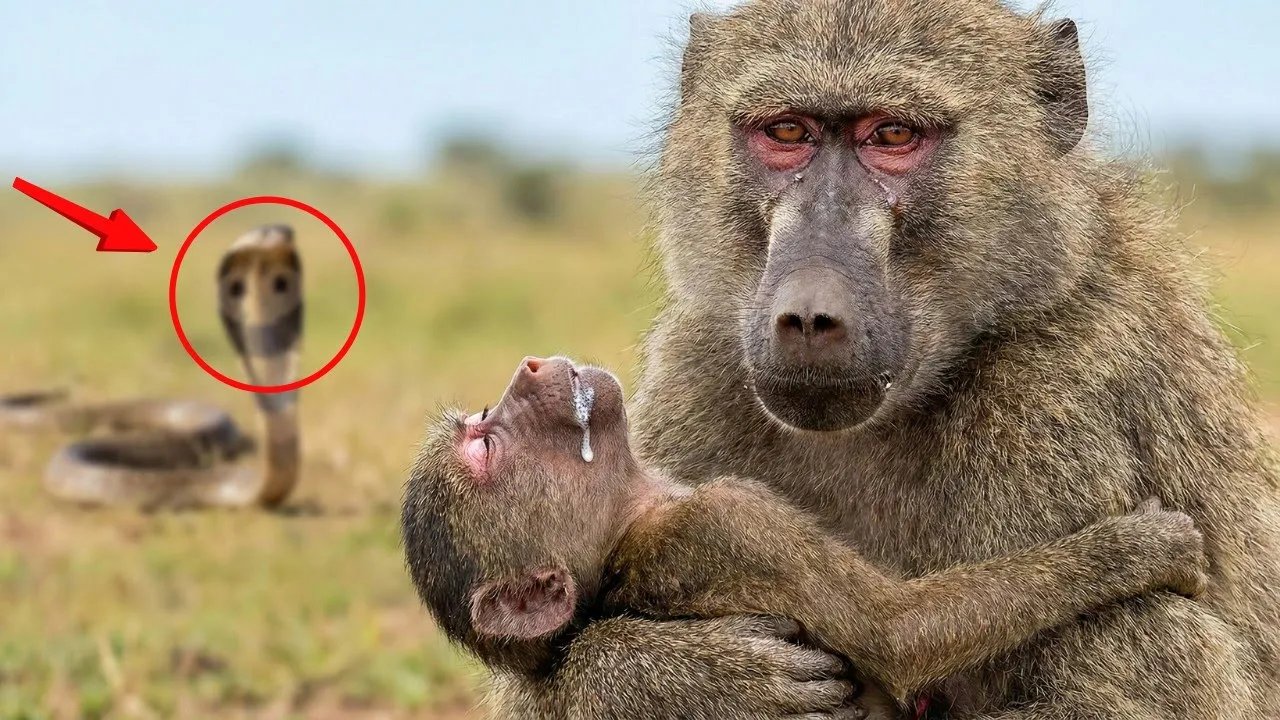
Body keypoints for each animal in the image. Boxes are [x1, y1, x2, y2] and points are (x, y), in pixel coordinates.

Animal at [403, 356, 1211, 719]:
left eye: (480, 424)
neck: (630, 530)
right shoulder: (729, 523)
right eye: (485, 449)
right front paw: (1143, 547)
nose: (534, 365)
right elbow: (899, 636)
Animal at [488, 2, 1280, 719]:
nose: (809, 315)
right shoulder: (699, 371)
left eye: (893, 135)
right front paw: (702, 679)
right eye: (787, 132)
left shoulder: (1059, 398)